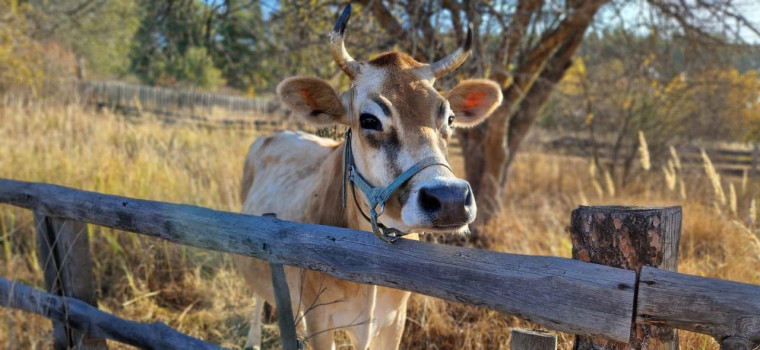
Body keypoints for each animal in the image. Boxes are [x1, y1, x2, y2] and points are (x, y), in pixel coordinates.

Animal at [235, 5, 502, 350]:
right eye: (369, 120)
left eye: (451, 118)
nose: (450, 199)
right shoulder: (318, 319)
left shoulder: (394, 322)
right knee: (259, 297)